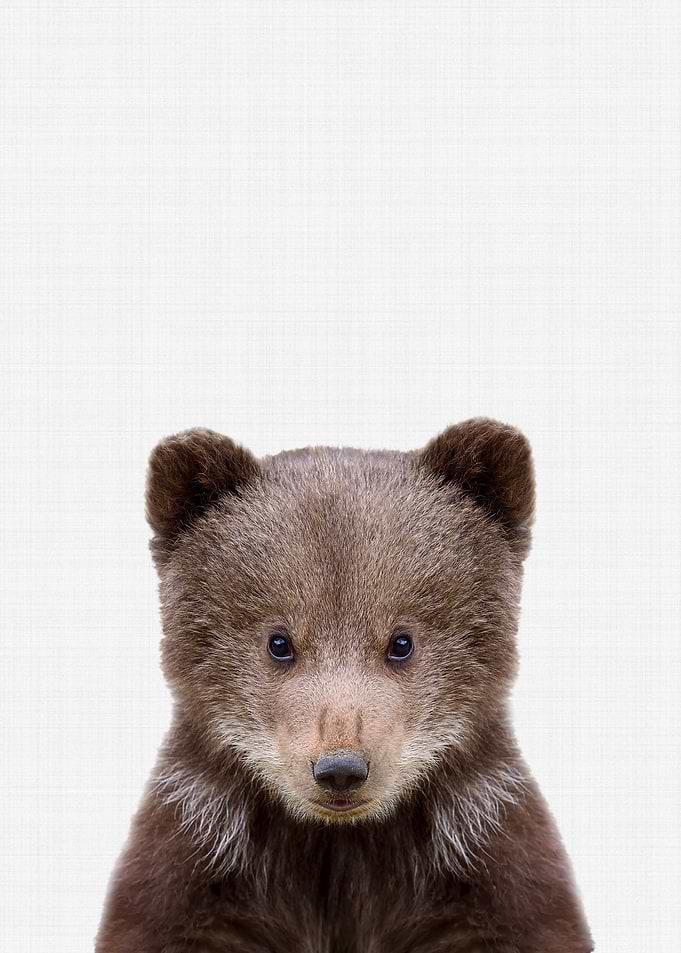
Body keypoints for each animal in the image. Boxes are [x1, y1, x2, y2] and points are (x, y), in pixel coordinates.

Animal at [96, 418, 593, 953]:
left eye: (401, 641)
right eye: (279, 641)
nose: (340, 768)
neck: (339, 844)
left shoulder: (490, 857)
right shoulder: (192, 861)